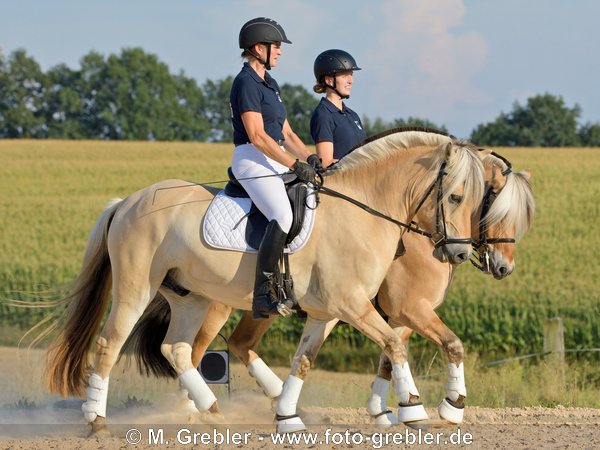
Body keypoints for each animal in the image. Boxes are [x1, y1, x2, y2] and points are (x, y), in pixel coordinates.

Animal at [47, 129, 488, 432]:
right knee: (110, 344)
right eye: (455, 197)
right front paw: (415, 407)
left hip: (191, 298)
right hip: (136, 289)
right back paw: (96, 421)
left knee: (176, 349)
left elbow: (303, 361)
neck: (363, 211)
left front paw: (287, 416)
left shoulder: (327, 313)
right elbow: (395, 345)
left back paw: (210, 409)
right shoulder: (354, 305)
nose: (460, 254)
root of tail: (127, 201)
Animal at [125, 149, 536, 428]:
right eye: (489, 203)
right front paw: (445, 406)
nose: (503, 267)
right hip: (216, 306)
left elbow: (390, 355)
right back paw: (194, 410)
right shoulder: (409, 308)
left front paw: (386, 410)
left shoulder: (397, 315)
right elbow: (445, 344)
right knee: (192, 353)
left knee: (235, 345)